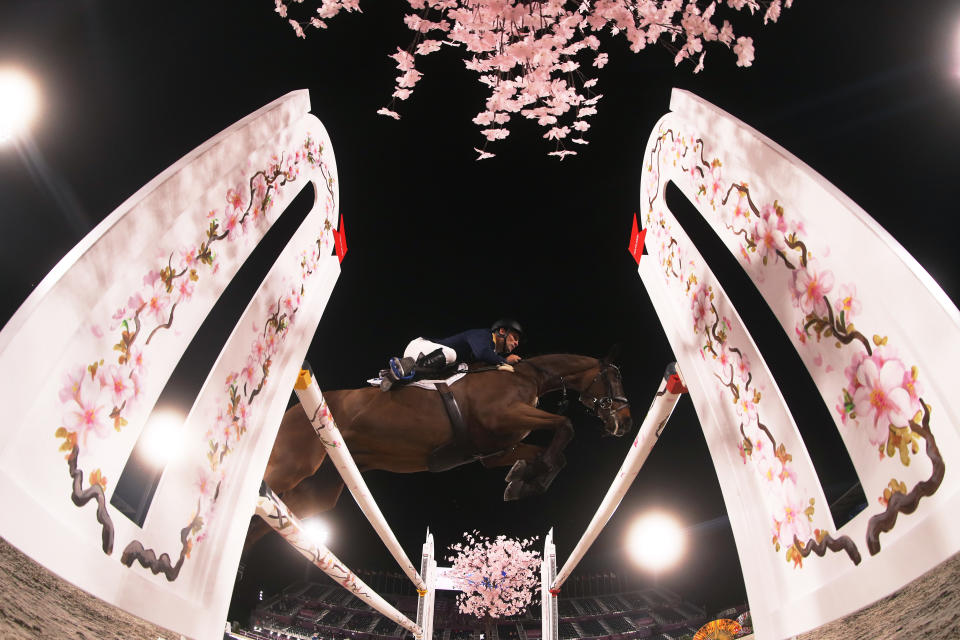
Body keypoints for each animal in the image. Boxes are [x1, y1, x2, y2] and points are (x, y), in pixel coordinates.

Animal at [248, 352, 632, 552]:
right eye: (614, 377)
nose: (625, 423)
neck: (527, 377)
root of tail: (290, 412)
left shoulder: (494, 450)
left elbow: (550, 453)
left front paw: (522, 480)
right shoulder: (505, 414)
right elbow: (565, 426)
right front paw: (529, 479)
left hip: (316, 491)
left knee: (264, 522)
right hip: (292, 463)